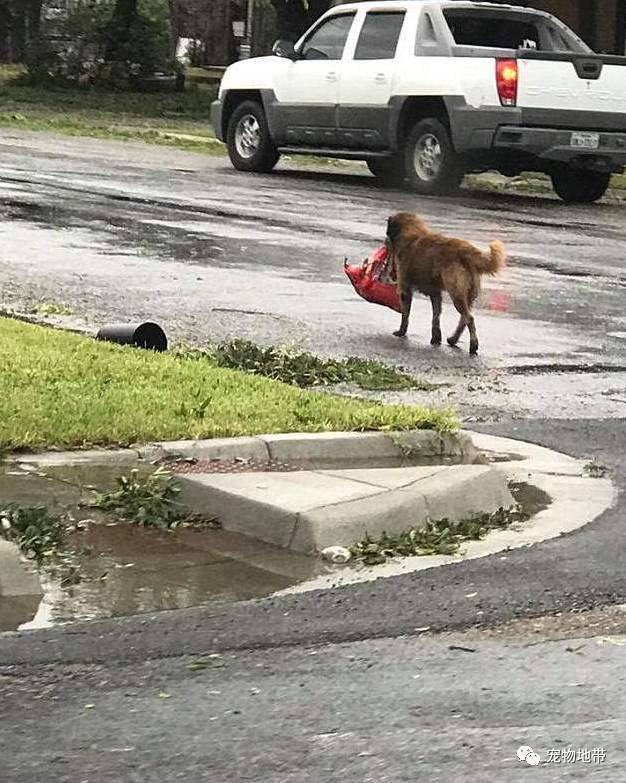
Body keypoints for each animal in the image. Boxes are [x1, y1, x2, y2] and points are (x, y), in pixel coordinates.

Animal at [386, 211, 502, 352]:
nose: (385, 241)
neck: (412, 233)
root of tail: (466, 250)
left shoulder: (405, 289)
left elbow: (405, 315)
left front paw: (401, 332)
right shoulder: (435, 293)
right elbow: (436, 317)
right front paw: (436, 338)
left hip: (456, 294)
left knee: (469, 318)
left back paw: (473, 345)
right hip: (468, 295)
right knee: (464, 319)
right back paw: (453, 339)